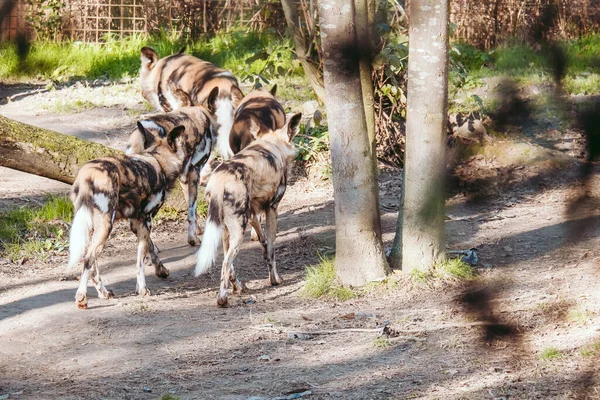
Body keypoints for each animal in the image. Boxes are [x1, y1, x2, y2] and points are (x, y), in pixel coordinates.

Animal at [68, 125, 185, 310]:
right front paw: (143, 289)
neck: (158, 160)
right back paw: (82, 297)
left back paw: (103, 293)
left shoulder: (136, 222)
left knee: (92, 263)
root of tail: (88, 175)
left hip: (92, 226)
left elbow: (151, 247)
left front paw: (161, 270)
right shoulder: (146, 221)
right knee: (88, 259)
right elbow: (140, 261)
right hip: (106, 226)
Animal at [125, 99, 217, 245]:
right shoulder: (194, 172)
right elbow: (192, 210)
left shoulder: (184, 176)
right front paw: (193, 238)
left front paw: (197, 231)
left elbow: (191, 207)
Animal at [195, 114, 302, 308]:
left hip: (226, 228)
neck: (272, 143)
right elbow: (272, 249)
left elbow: (264, 241)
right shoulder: (272, 208)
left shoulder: (253, 213)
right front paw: (275, 279)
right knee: (226, 262)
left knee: (227, 263)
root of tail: (219, 180)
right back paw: (222, 299)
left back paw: (237, 287)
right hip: (238, 229)